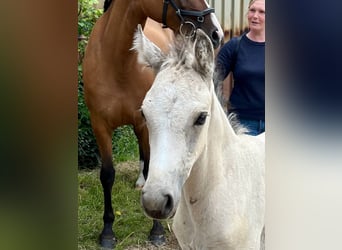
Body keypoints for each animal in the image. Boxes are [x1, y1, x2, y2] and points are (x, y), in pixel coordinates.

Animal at [81, 0, 223, 248]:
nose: (216, 33)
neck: (116, 63)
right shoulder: (100, 125)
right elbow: (107, 175)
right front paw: (107, 232)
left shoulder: (143, 124)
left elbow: (151, 167)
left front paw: (156, 230)